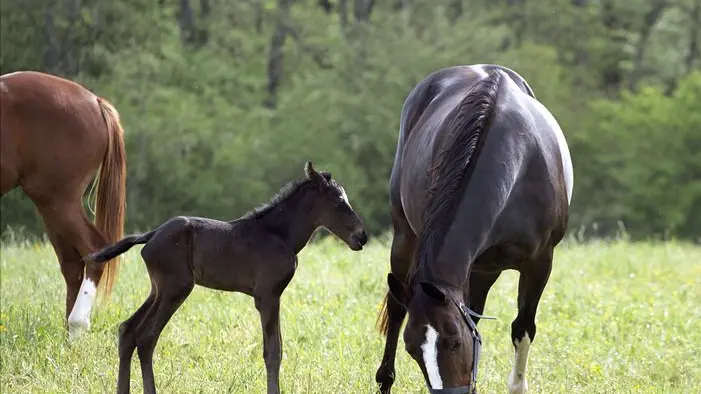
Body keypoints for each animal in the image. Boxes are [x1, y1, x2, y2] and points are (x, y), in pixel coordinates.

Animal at [1, 71, 126, 338]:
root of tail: (95, 101)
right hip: (52, 208)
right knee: (72, 264)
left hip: (58, 200)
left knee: (92, 250)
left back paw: (77, 325)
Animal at [90, 161, 370, 394]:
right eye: (338, 201)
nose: (362, 236)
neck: (279, 235)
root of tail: (152, 234)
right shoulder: (267, 296)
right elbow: (273, 352)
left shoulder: (274, 296)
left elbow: (277, 348)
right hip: (175, 289)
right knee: (147, 338)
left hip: (157, 290)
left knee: (127, 330)